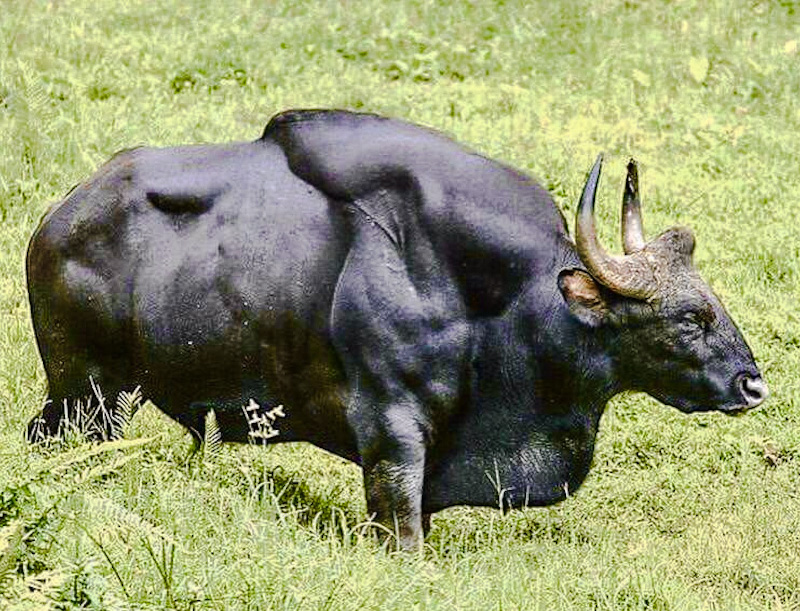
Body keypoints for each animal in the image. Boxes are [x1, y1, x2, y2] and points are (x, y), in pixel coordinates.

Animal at [27, 109, 768, 547]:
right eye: (689, 316)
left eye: (711, 300)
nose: (753, 384)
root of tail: (59, 218)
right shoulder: (392, 431)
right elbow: (403, 527)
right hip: (85, 394)